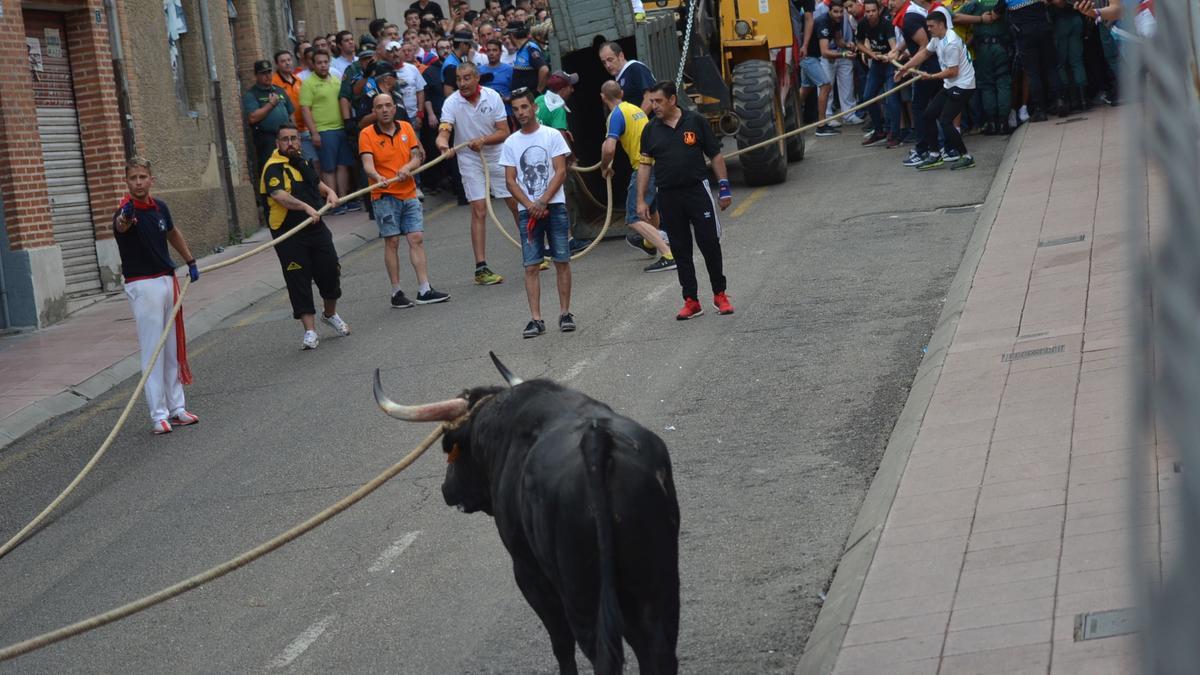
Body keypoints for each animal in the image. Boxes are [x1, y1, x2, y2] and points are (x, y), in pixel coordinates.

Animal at [369, 355, 681, 667]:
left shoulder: (528, 572)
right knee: (658, 652)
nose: (446, 489)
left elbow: (561, 643)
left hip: (581, 596)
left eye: (450, 450)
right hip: (657, 589)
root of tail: (598, 442)